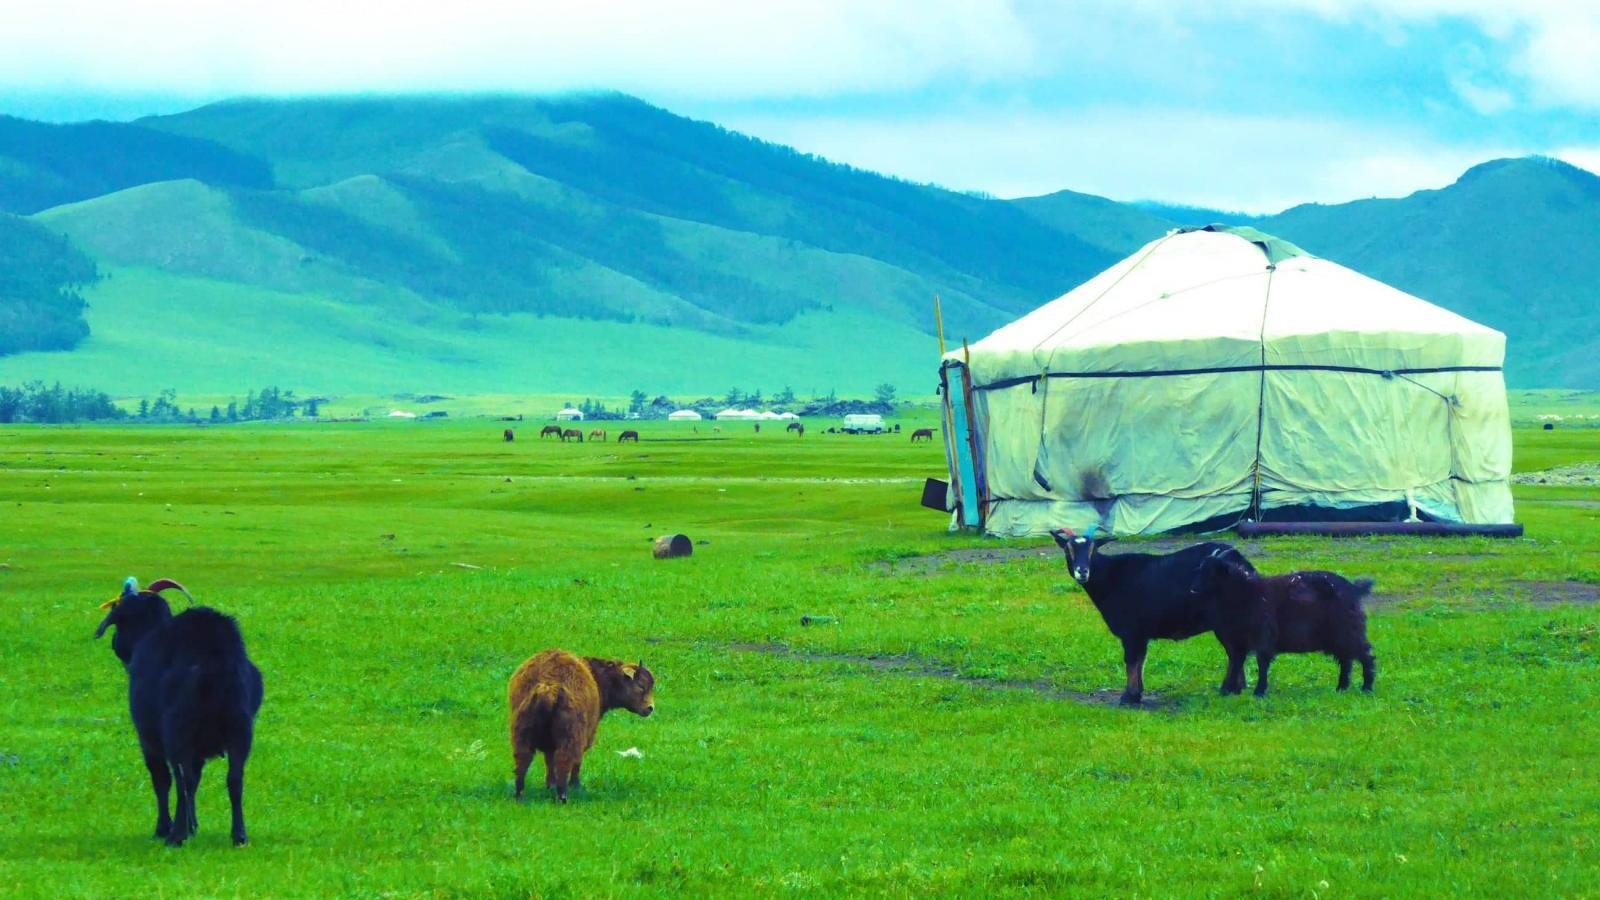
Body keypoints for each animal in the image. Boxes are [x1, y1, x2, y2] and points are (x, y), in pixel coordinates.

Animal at [96, 576, 264, 845]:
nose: (115, 644)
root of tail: (217, 660)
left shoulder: (149, 737)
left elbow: (163, 780)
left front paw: (165, 827)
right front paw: (193, 825)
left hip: (178, 729)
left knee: (183, 779)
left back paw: (176, 835)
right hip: (241, 729)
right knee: (234, 778)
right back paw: (239, 835)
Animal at [1056, 528, 1254, 704]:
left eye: (1093, 549)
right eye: (1067, 549)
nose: (1082, 571)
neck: (1111, 577)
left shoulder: (1131, 631)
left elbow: (1131, 660)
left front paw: (1129, 697)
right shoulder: (1140, 633)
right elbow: (1140, 660)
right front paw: (1137, 693)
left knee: (1235, 652)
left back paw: (1228, 689)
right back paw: (1237, 689)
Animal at [1190, 554, 1376, 695]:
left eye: (1211, 573)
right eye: (1200, 570)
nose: (1193, 589)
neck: (1246, 592)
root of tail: (1355, 589)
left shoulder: (1263, 637)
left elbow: (1261, 664)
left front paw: (1259, 691)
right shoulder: (1238, 641)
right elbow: (1236, 663)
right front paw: (1226, 691)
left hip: (1348, 630)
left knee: (1365, 656)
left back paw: (1366, 688)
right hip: (1337, 636)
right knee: (1346, 660)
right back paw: (1341, 688)